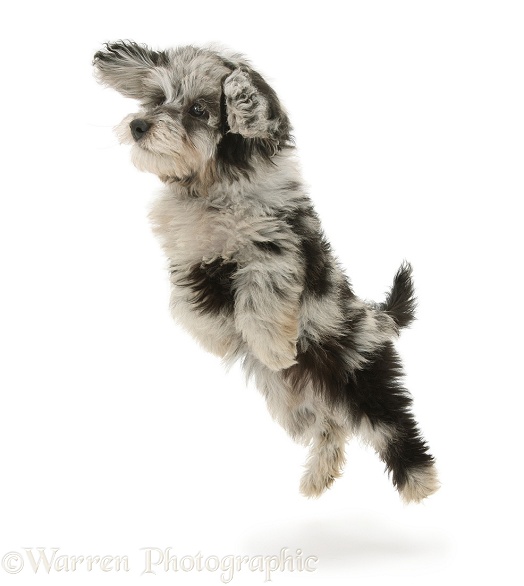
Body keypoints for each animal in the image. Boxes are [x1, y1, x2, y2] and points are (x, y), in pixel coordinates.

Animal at [93, 41, 438, 500]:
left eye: (199, 109)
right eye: (156, 99)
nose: (139, 125)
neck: (211, 185)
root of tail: (378, 318)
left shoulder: (273, 246)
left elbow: (260, 296)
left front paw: (271, 345)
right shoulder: (190, 259)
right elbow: (190, 305)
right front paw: (221, 338)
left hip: (358, 373)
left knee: (392, 425)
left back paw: (422, 484)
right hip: (291, 398)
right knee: (330, 425)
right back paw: (319, 475)